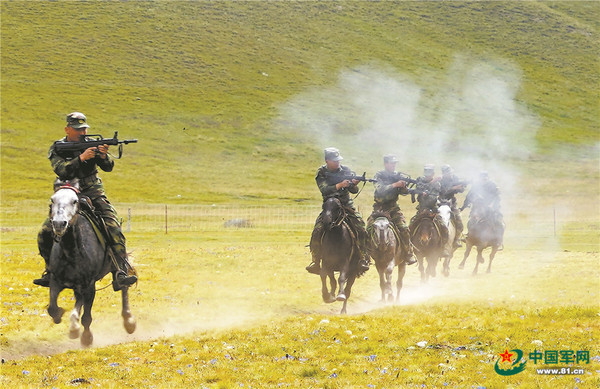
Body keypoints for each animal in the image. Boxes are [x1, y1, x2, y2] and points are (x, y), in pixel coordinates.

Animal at [45, 179, 135, 346]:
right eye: (52, 200)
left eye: (74, 201)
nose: (59, 224)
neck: (70, 251)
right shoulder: (55, 281)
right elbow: (52, 308)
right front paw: (62, 317)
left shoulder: (89, 285)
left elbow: (86, 317)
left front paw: (86, 338)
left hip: (118, 266)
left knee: (124, 288)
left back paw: (129, 322)